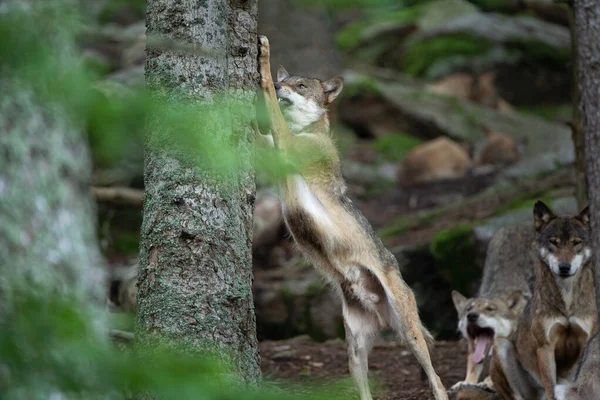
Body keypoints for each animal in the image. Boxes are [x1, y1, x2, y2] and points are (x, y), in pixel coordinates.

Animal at [255, 35, 448, 400]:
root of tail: (377, 309)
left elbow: (268, 99)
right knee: (366, 390)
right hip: (355, 353)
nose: (282, 83)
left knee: (438, 379)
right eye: (289, 81)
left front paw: (263, 60)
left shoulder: (285, 143)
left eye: (299, 86)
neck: (306, 132)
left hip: (410, 335)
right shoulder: (271, 149)